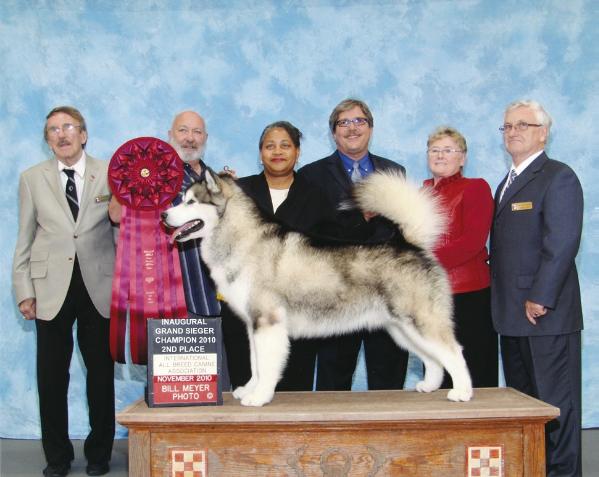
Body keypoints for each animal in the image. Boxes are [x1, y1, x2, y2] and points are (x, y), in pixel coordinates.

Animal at [163, 169, 474, 404]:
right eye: (182, 200)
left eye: (191, 202)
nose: (164, 215)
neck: (241, 239)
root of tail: (409, 243)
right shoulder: (254, 324)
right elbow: (255, 363)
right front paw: (250, 390)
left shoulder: (268, 321)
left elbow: (266, 365)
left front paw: (260, 397)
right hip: (401, 328)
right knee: (432, 358)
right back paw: (429, 385)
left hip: (420, 320)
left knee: (454, 351)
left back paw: (462, 392)